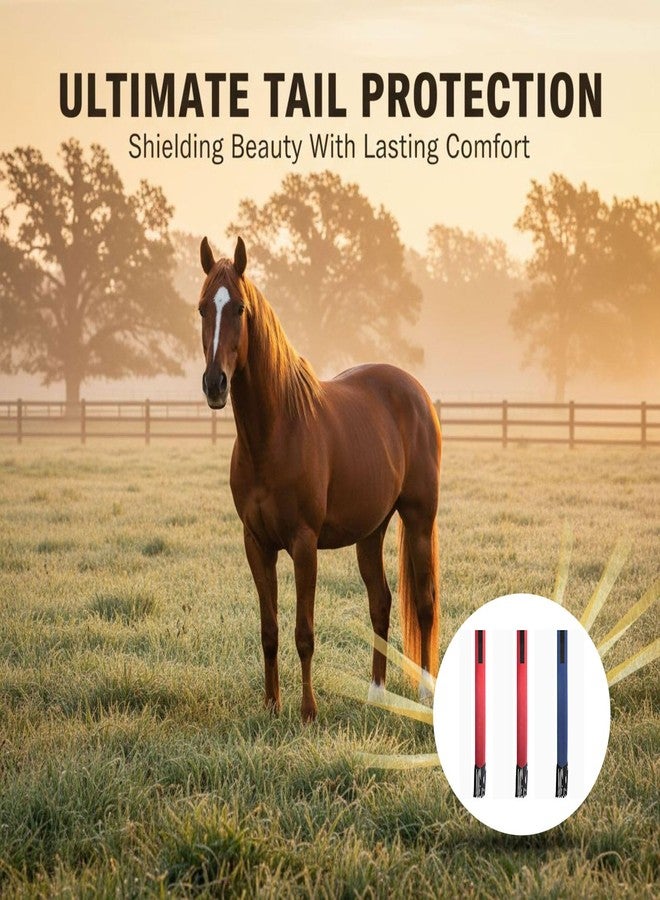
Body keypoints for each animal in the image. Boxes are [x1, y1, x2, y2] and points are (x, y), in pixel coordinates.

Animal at [198, 236, 441, 721]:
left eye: (239, 309)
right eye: (201, 309)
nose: (215, 384)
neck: (274, 433)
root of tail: (416, 392)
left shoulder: (303, 543)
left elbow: (304, 632)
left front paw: (308, 711)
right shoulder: (257, 544)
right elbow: (270, 630)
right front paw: (271, 706)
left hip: (419, 519)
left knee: (424, 603)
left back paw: (425, 694)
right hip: (371, 530)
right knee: (381, 601)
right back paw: (376, 692)